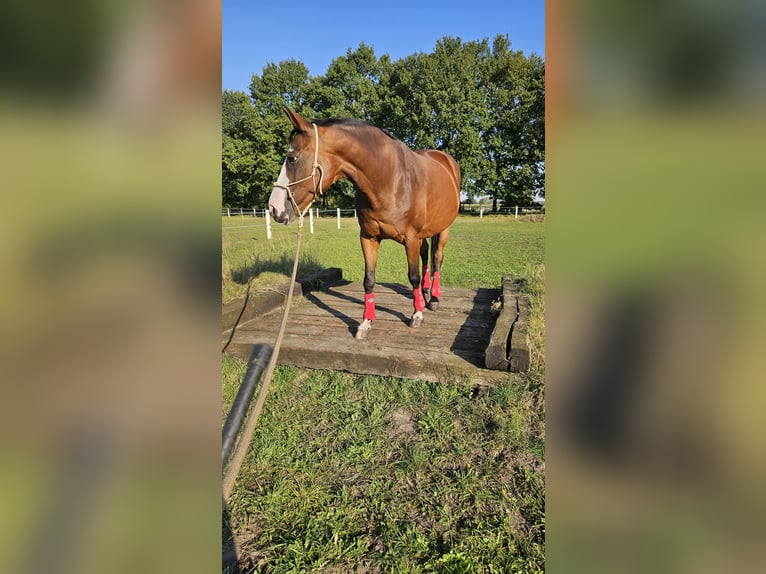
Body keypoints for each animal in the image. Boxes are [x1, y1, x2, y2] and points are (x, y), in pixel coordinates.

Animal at [270, 107, 462, 340]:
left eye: (292, 158)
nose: (274, 208)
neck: (389, 179)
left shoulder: (410, 239)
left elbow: (413, 276)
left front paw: (416, 314)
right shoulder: (369, 237)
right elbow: (369, 279)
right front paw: (366, 322)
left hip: (443, 229)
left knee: (436, 259)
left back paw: (433, 299)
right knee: (426, 256)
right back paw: (425, 295)